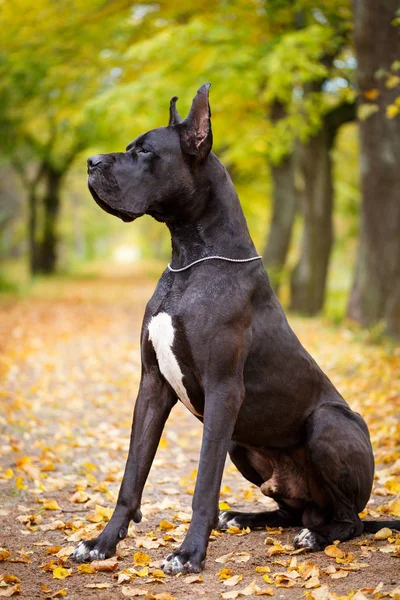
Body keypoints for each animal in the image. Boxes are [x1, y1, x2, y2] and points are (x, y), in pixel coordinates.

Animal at [71, 83, 400, 572]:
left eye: (145, 151)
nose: (91, 162)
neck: (190, 258)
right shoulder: (151, 387)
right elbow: (132, 476)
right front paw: (101, 544)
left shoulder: (224, 390)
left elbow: (203, 485)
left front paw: (189, 553)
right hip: (241, 446)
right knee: (294, 510)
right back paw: (243, 517)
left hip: (326, 423)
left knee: (348, 521)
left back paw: (315, 537)